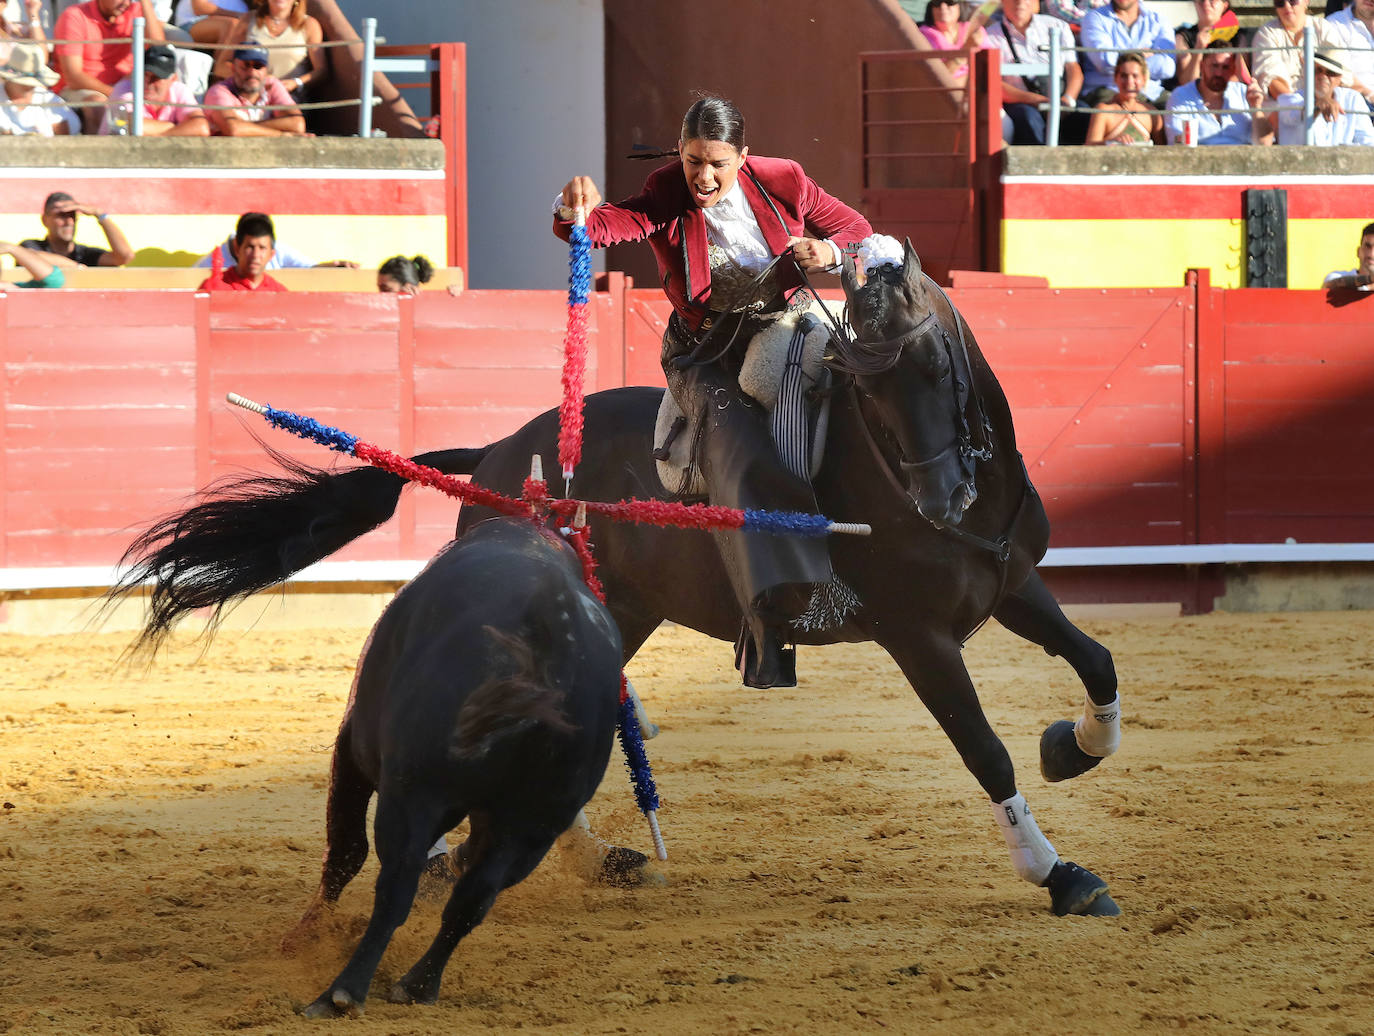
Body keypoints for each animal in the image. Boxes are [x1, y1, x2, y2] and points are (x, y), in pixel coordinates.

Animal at [115, 245, 1126, 917]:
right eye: (861, 379)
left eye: (932, 359)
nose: (942, 496)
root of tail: (496, 455)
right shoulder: (918, 636)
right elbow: (983, 749)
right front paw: (1061, 874)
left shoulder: (1012, 585)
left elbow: (1097, 661)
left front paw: (1073, 746)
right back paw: (469, 850)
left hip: (622, 614)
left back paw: (573, 855)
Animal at [289, 513, 623, 1011]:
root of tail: (550, 636)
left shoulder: (354, 744)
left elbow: (346, 848)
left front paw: (305, 934)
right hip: (533, 827)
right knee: (474, 899)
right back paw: (417, 984)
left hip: (414, 794)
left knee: (397, 884)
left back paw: (341, 992)